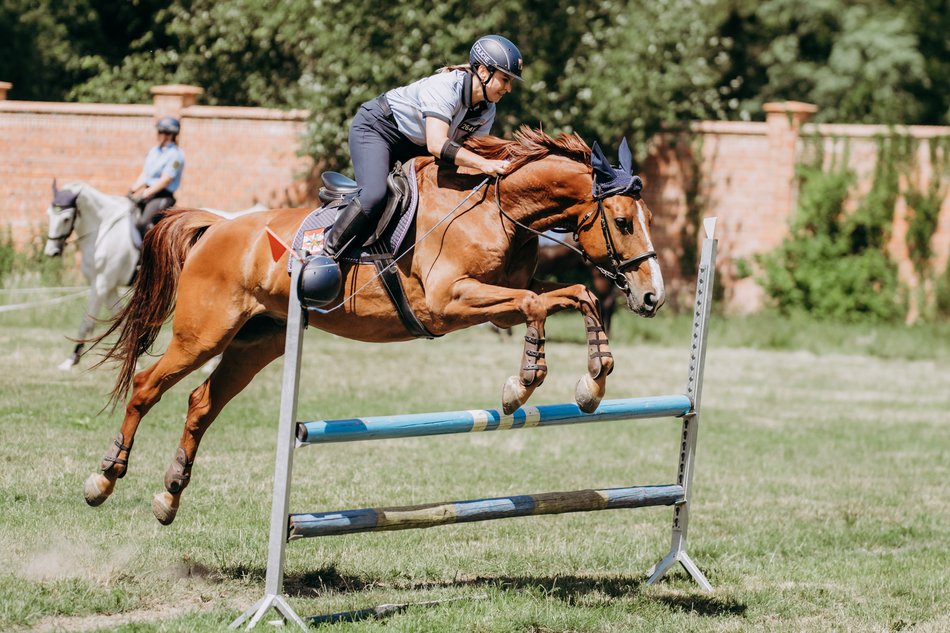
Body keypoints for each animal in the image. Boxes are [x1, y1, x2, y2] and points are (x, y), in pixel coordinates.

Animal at [43, 181, 268, 370]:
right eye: (49, 215)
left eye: (65, 218)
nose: (51, 252)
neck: (103, 229)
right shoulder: (106, 286)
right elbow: (118, 320)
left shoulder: (103, 283)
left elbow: (88, 322)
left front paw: (72, 360)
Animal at [85, 127, 664, 524]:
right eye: (623, 222)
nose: (651, 296)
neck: (497, 209)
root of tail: (218, 226)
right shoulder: (449, 303)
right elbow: (536, 305)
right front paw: (523, 382)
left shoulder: (496, 303)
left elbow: (568, 296)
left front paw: (592, 380)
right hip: (202, 333)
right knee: (147, 385)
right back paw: (104, 478)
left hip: (258, 342)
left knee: (201, 403)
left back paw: (169, 494)